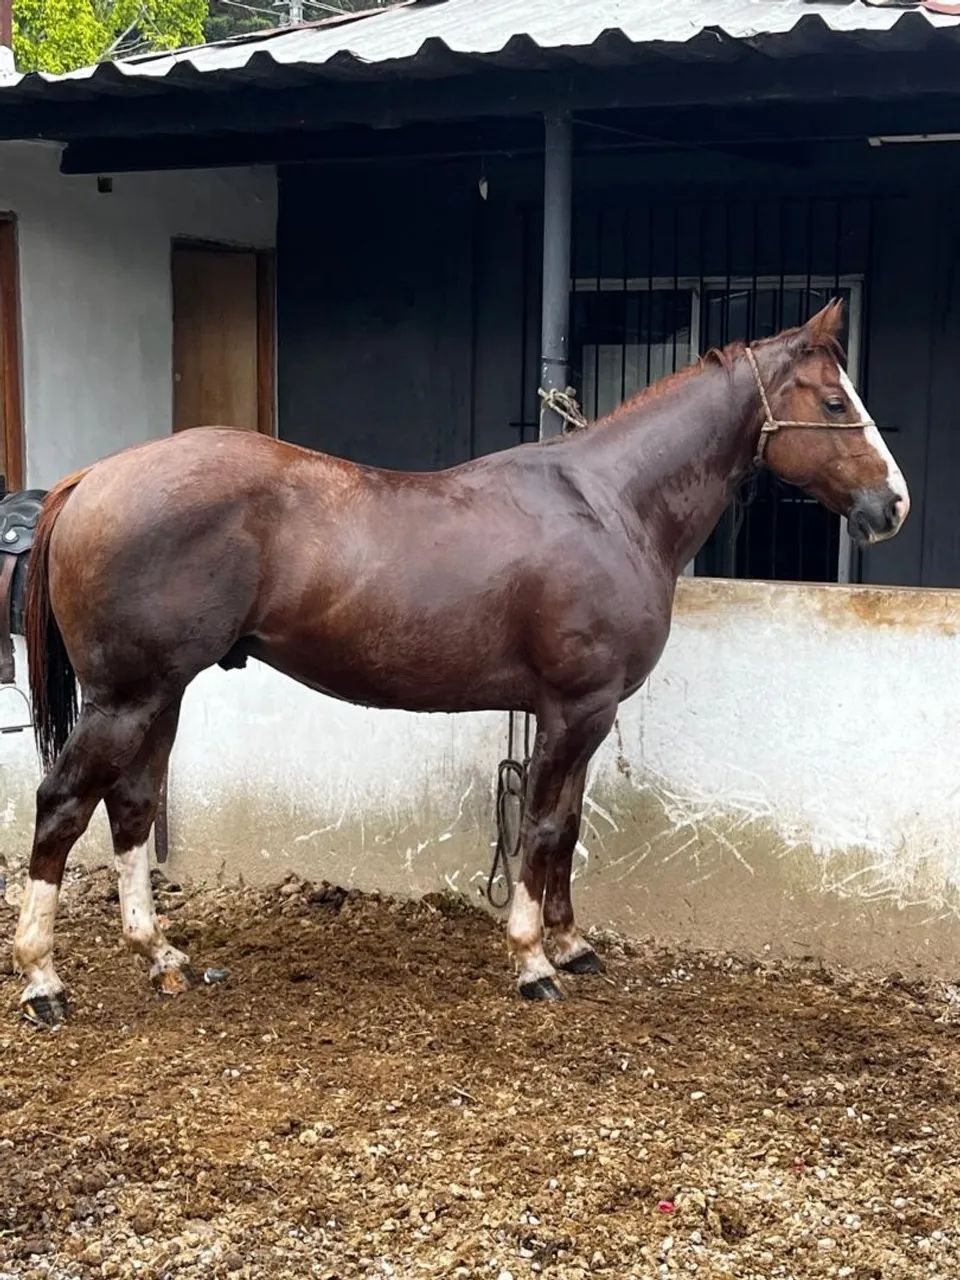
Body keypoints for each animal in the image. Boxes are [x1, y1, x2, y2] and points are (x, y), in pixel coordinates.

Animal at [11, 301, 908, 1027]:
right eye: (835, 401)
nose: (892, 505)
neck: (611, 505)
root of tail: (93, 477)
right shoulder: (575, 708)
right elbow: (542, 826)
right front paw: (533, 961)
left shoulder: (585, 712)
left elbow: (567, 827)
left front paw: (573, 944)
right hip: (125, 698)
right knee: (62, 805)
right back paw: (43, 983)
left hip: (158, 695)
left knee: (131, 805)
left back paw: (161, 956)